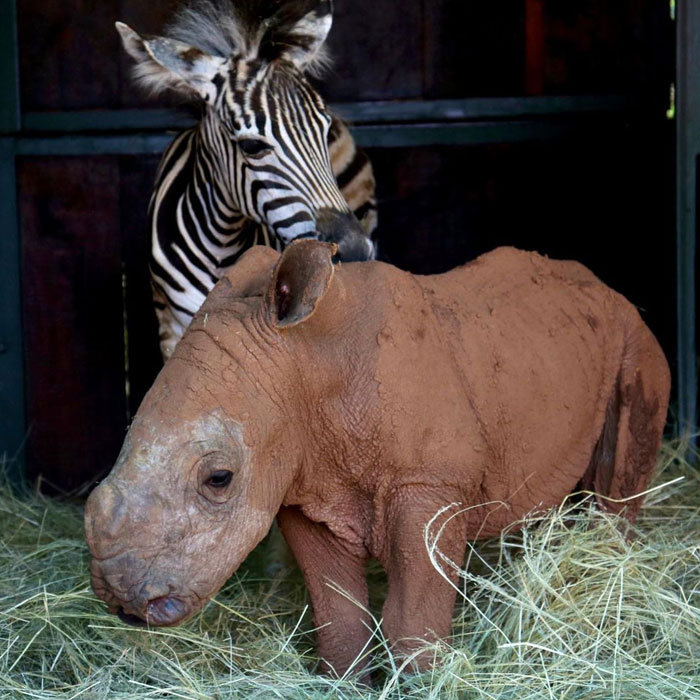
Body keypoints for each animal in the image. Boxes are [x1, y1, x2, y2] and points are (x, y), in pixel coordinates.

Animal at [85, 241, 668, 672]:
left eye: (219, 478)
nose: (121, 601)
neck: (308, 364)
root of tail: (609, 290)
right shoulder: (306, 485)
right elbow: (337, 611)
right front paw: (344, 679)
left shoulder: (429, 482)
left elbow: (412, 616)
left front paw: (422, 680)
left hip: (637, 340)